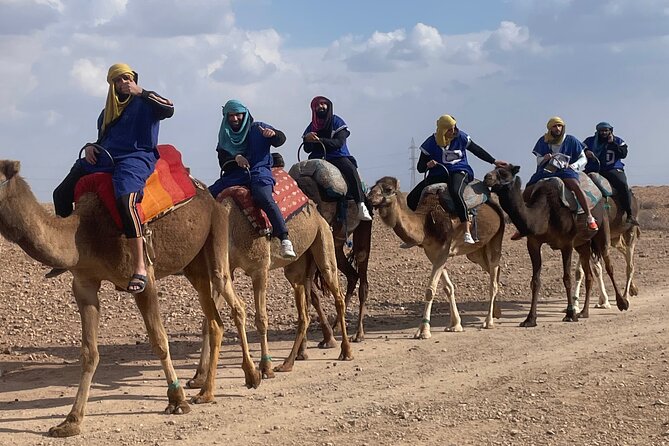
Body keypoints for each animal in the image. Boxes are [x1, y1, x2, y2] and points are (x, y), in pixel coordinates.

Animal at [0, 160, 260, 437]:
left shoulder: (144, 280)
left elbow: (159, 340)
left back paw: (252, 375)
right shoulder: (84, 284)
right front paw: (70, 421)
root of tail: (210, 196)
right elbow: (89, 352)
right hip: (193, 264)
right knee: (214, 321)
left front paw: (177, 400)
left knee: (232, 296)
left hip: (217, 232)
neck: (84, 234)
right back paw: (206, 391)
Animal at [186, 194, 354, 389]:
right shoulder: (226, 269)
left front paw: (265, 368)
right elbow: (208, 321)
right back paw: (288, 363)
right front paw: (198, 377)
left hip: (323, 240)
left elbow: (261, 319)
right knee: (304, 311)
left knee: (336, 294)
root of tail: (318, 214)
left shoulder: (259, 269)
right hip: (297, 267)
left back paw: (346, 351)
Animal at [366, 176, 504, 338]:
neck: (426, 224)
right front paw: (455, 325)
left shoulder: (443, 249)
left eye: (388, 189)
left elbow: (430, 290)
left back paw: (488, 322)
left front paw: (424, 331)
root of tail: (496, 208)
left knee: (493, 281)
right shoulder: (432, 253)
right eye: (372, 187)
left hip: (495, 239)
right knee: (493, 271)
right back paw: (497, 312)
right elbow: (448, 288)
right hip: (475, 252)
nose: (369, 198)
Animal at [483, 164, 628, 326]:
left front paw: (570, 314)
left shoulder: (566, 243)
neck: (546, 212)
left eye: (503, 172)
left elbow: (567, 278)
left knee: (609, 264)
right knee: (589, 275)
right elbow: (535, 280)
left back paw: (622, 303)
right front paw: (530, 319)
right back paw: (584, 312)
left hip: (602, 229)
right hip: (582, 244)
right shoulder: (533, 243)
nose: (487, 177)